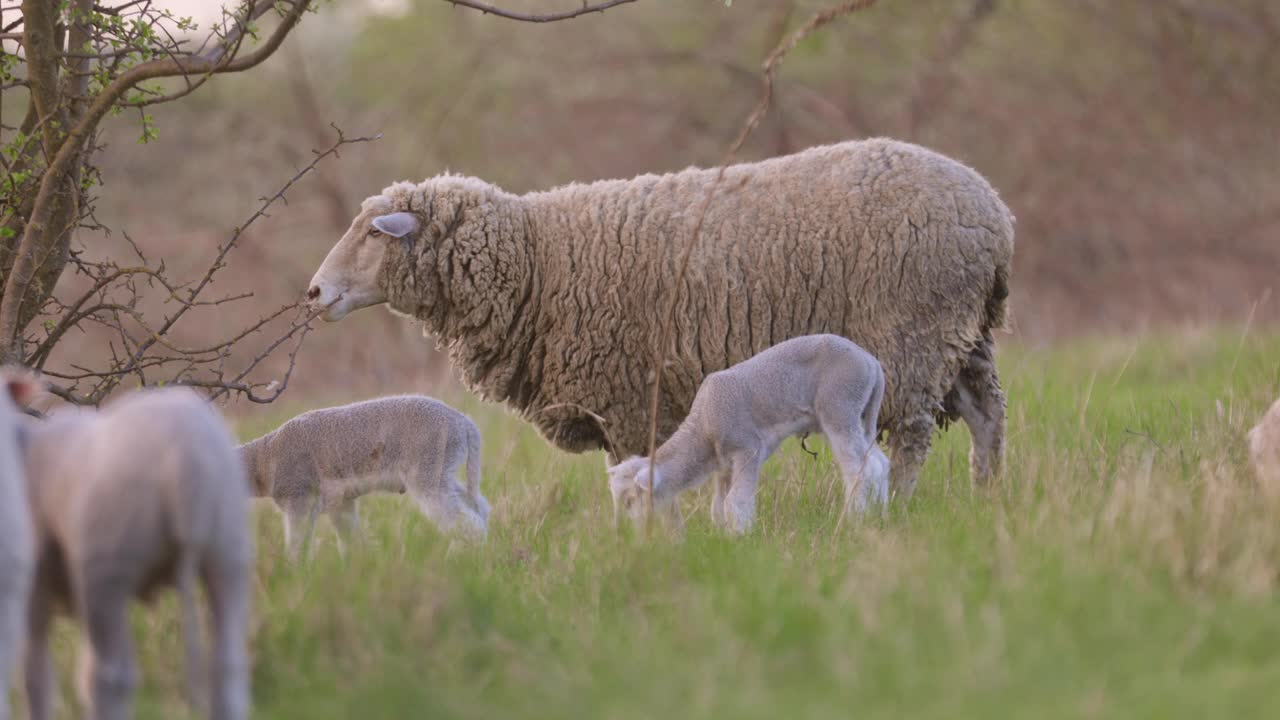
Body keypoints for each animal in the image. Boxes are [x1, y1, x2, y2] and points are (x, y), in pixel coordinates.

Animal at [22, 386, 250, 717]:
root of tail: (185, 462)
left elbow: (37, 675)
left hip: (106, 569)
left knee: (111, 677)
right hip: (227, 552)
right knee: (228, 663)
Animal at [241, 392, 491, 556]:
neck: (264, 458)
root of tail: (464, 423)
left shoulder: (299, 500)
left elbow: (297, 548)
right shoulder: (340, 503)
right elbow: (351, 544)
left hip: (427, 473)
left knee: (469, 524)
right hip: (443, 472)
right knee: (480, 508)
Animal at [307, 137, 1008, 497]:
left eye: (372, 233)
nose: (313, 293)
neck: (537, 259)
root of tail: (995, 213)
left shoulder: (625, 395)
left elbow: (630, 472)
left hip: (912, 337)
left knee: (912, 437)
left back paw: (905, 507)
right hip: (963, 337)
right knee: (986, 417)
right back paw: (987, 499)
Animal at [606, 333, 890, 530]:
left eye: (629, 500)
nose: (621, 535)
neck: (702, 429)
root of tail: (872, 362)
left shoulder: (747, 449)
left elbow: (736, 501)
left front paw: (742, 538)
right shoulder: (723, 464)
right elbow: (718, 506)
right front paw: (722, 537)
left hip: (840, 406)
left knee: (861, 470)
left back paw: (854, 520)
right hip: (862, 414)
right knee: (879, 462)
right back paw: (882, 513)